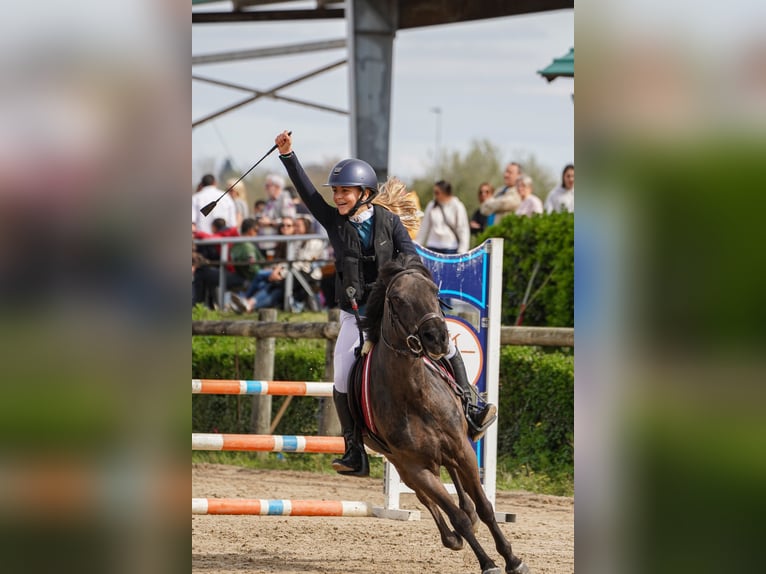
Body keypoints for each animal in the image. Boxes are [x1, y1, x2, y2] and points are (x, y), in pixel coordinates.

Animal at [362, 256, 532, 574]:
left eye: (434, 291)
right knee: (425, 497)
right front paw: (487, 562)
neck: (415, 393)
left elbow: (486, 508)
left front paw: (512, 559)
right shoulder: (415, 466)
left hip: (450, 448)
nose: (438, 338)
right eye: (396, 299)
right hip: (403, 464)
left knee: (456, 481)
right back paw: (450, 537)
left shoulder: (463, 448)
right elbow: (454, 515)